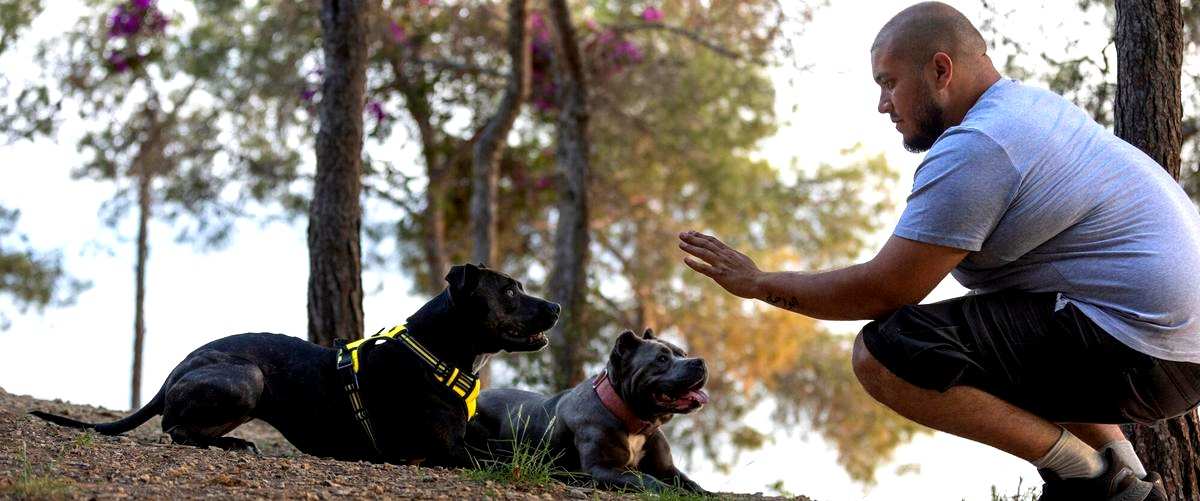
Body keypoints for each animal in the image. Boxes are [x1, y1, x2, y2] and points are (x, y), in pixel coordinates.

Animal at [31, 263, 556, 467]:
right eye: (510, 291)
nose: (556, 306)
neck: (437, 352)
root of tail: (175, 371)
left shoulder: (469, 440)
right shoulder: (449, 450)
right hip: (248, 376)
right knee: (174, 427)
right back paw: (225, 443)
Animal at [465, 328, 710, 493]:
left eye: (682, 353)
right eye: (661, 359)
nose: (700, 361)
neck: (634, 421)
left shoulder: (667, 469)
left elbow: (691, 483)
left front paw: (704, 492)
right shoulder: (601, 468)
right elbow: (644, 479)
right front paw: (670, 491)